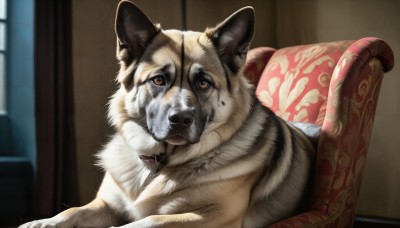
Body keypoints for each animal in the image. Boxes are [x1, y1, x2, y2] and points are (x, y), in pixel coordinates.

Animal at [21, 0, 316, 227]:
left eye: (203, 83)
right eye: (159, 80)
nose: (181, 119)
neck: (158, 163)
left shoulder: (211, 217)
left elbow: (147, 220)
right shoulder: (105, 204)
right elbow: (71, 210)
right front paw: (41, 222)